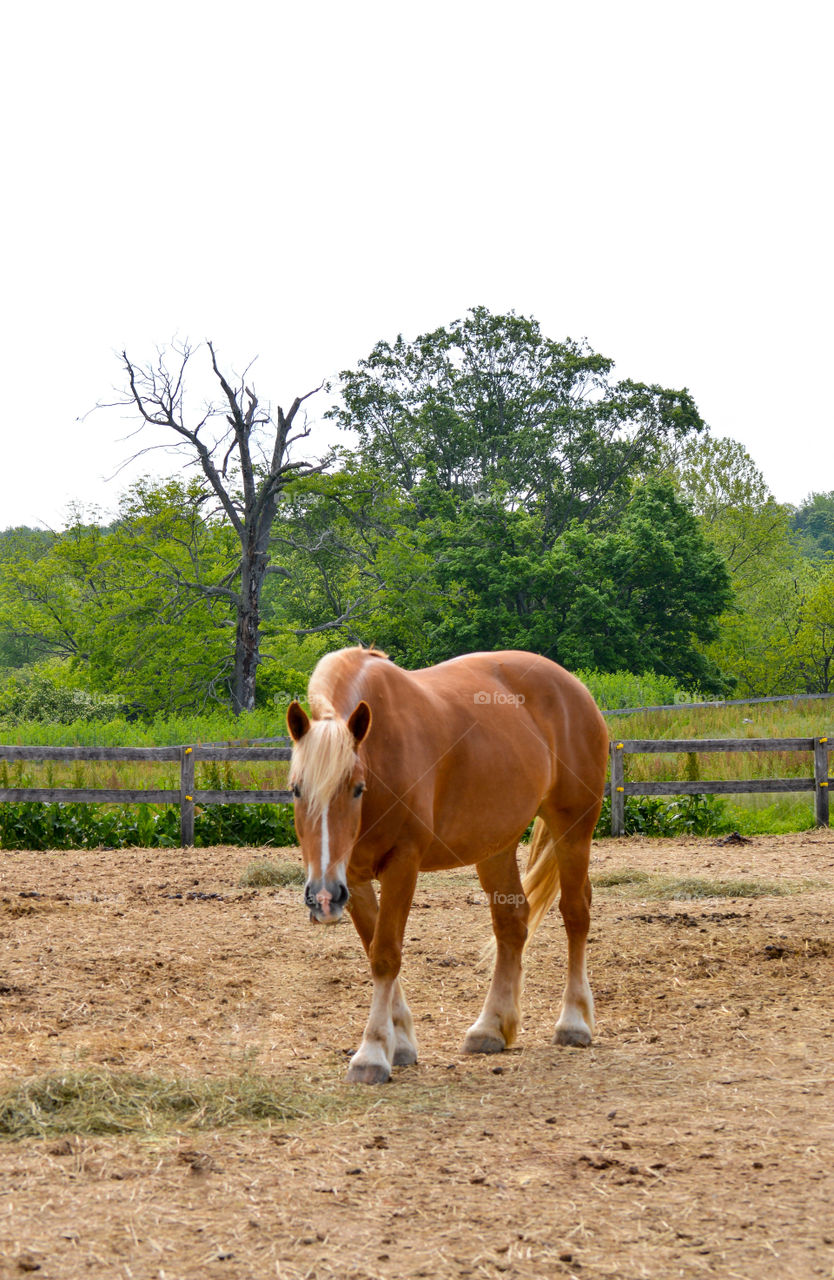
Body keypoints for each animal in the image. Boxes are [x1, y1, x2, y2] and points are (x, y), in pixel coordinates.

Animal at [285, 650, 606, 1080]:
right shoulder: (351, 877)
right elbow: (374, 946)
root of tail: (575, 688)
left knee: (575, 914)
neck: (383, 748)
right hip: (495, 847)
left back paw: (574, 1022)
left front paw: (373, 1052)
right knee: (511, 924)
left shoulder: (402, 864)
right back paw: (490, 1028)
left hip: (572, 830)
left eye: (357, 789)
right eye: (296, 789)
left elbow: (385, 954)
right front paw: (401, 1042)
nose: (322, 898)